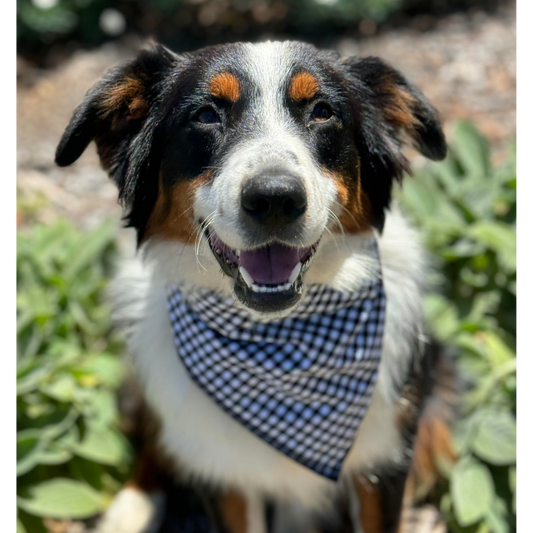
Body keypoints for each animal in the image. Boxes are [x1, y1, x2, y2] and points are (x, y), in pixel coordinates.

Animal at [56, 41, 456, 532]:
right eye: (206, 115)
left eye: (322, 112)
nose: (275, 199)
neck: (279, 339)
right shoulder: (224, 474)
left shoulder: (380, 460)